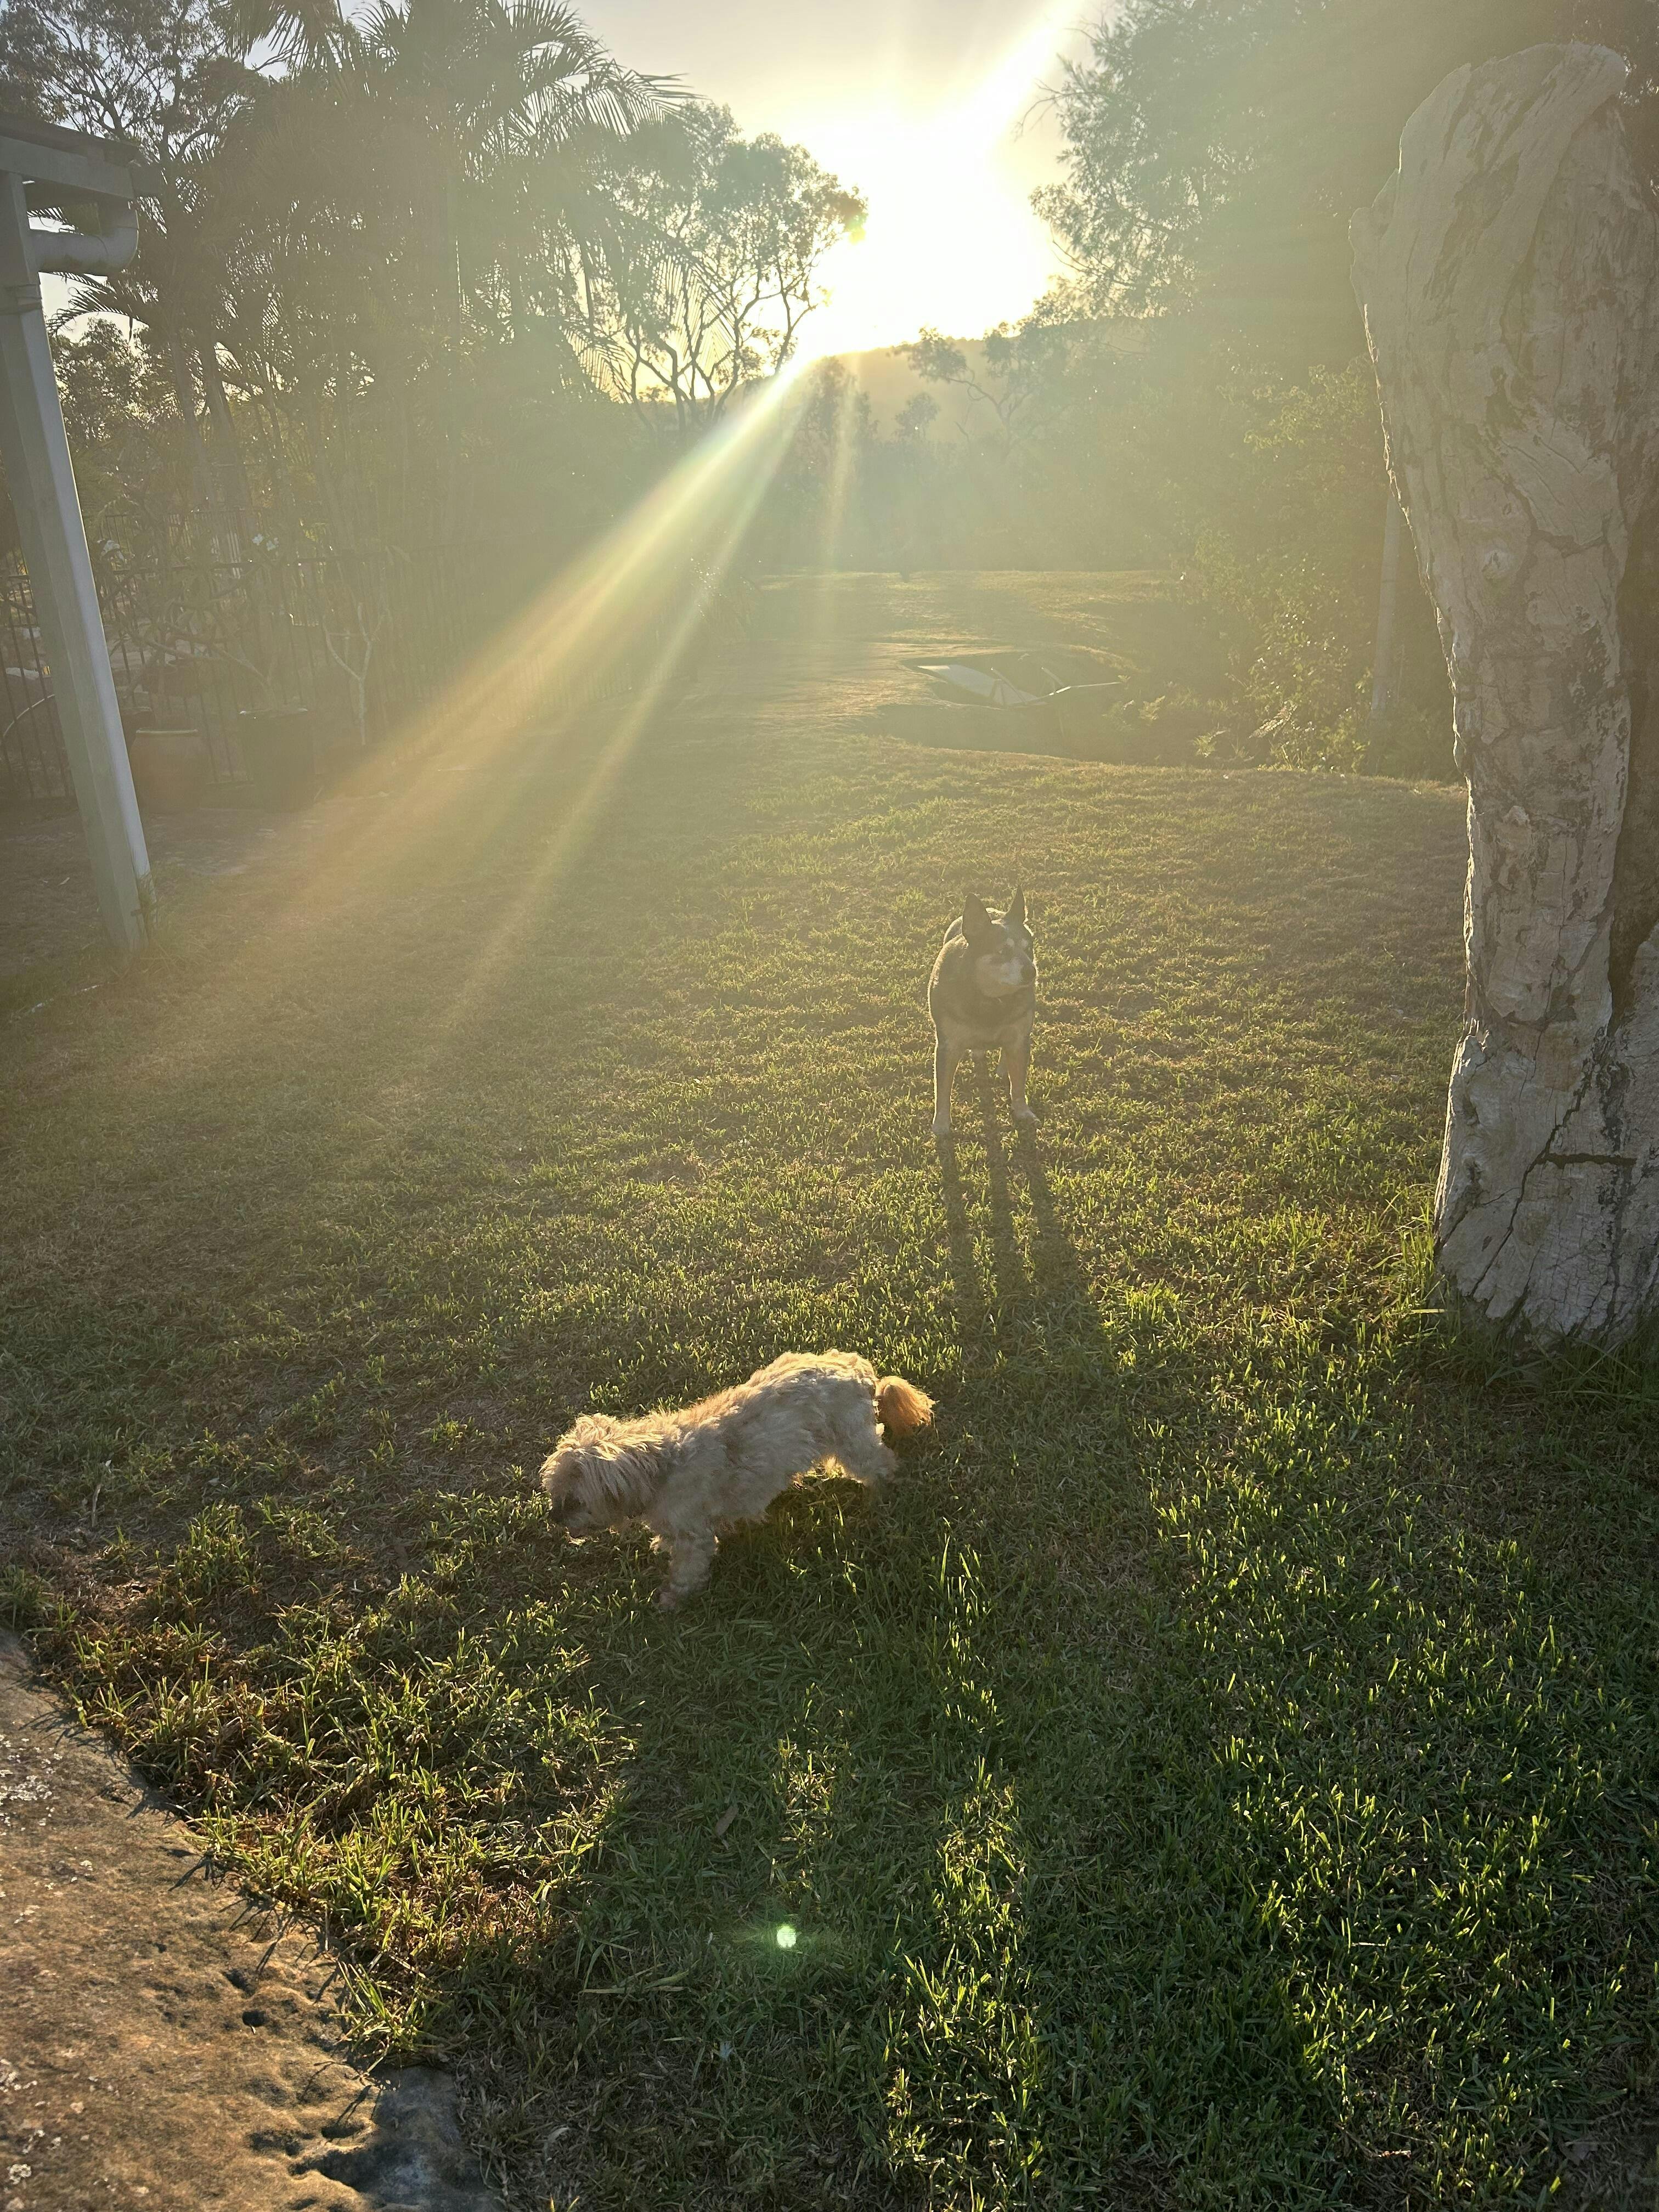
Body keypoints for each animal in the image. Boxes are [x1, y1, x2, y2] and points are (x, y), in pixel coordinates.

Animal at [539, 1352, 934, 1608]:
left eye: (575, 1501)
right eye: (555, 1493)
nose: (553, 1516)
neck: (660, 1467)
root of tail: (857, 1367)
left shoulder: (694, 1535)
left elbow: (686, 1568)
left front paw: (672, 1599)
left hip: (854, 1440)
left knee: (882, 1464)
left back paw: (878, 1497)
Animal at [929, 890, 1038, 1140]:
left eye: (1029, 948)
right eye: (1002, 951)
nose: (1031, 971)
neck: (991, 1001)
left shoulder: (1020, 1037)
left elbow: (1019, 1083)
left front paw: (1022, 1111)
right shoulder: (948, 1046)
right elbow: (943, 1088)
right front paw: (941, 1124)